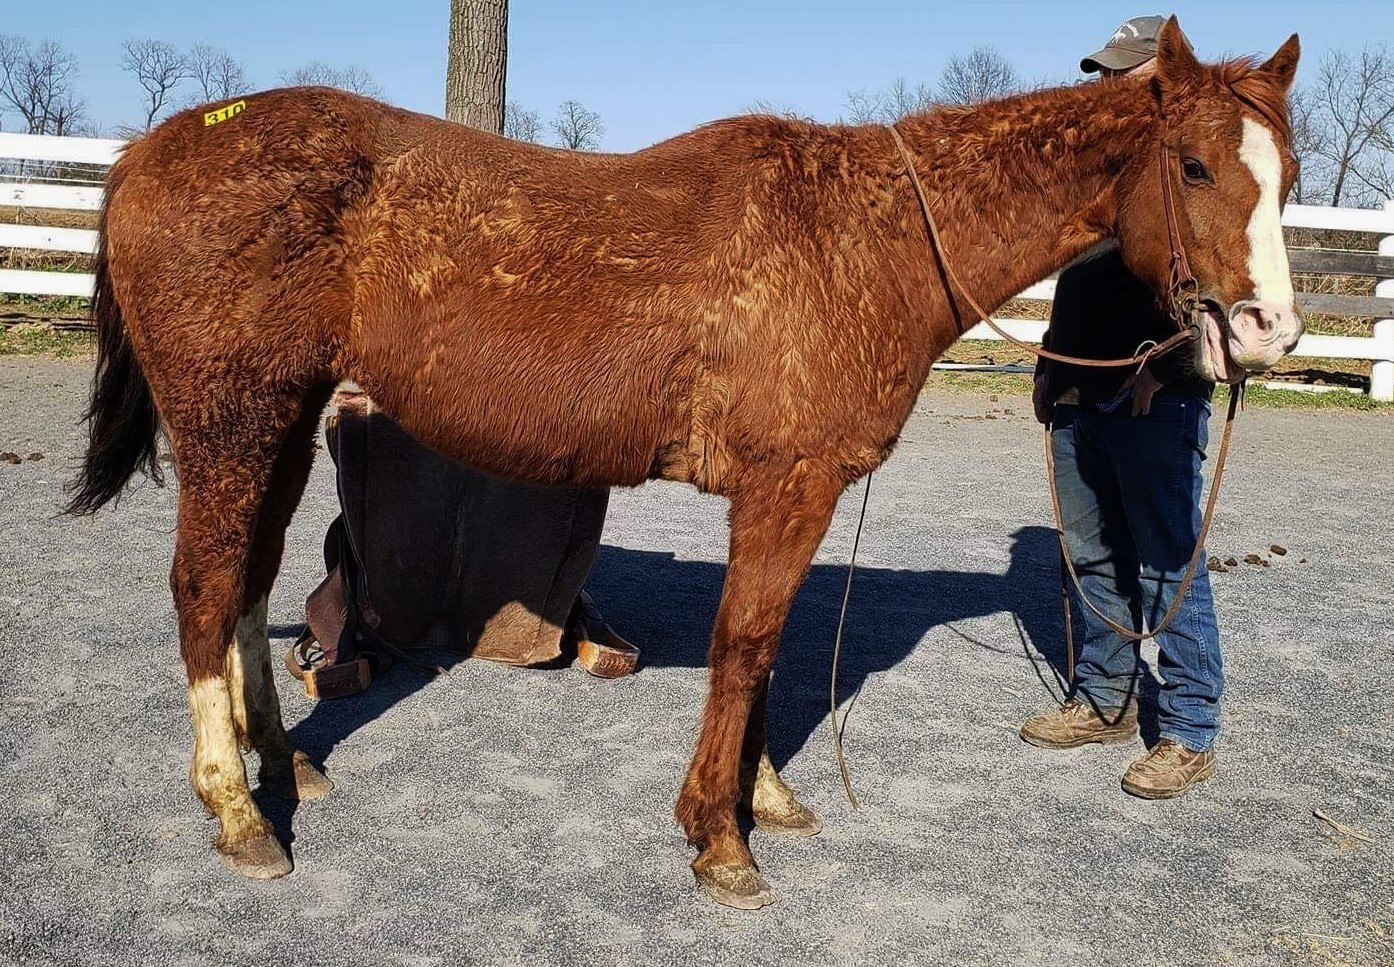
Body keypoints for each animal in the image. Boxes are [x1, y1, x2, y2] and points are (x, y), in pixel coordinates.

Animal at [67, 22, 1304, 914]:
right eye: (1192, 165)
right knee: (203, 587)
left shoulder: (794, 494)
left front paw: (763, 799)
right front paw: (719, 841)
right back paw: (237, 814)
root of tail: (147, 152)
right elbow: (745, 645)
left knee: (248, 582)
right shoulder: (784, 486)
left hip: (277, 416)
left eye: (1286, 174)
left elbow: (766, 648)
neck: (861, 241)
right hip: (232, 416)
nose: (1267, 332)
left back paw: (283, 764)